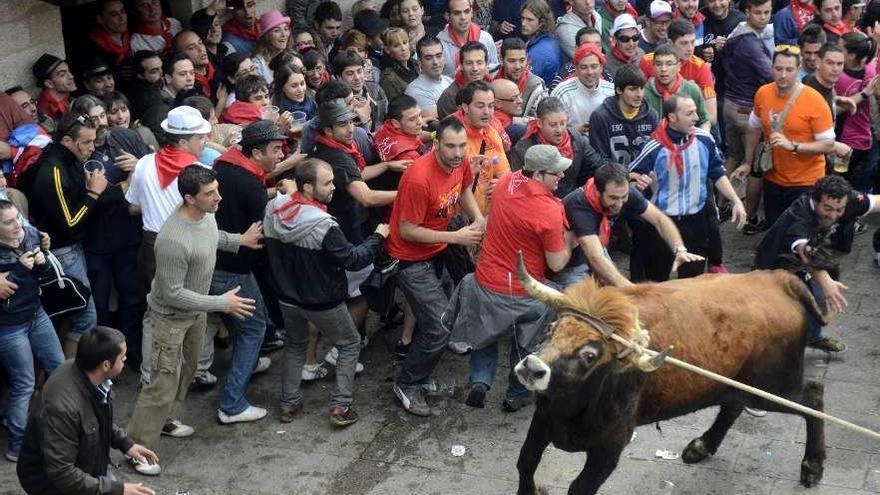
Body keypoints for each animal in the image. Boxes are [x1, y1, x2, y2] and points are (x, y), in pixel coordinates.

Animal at [512, 268, 828, 495]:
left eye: (590, 354)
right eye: (551, 328)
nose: (532, 367)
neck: (572, 405)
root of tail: (778, 279)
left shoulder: (609, 447)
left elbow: (578, 488)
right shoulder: (542, 422)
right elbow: (525, 462)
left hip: (772, 388)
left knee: (813, 396)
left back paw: (812, 466)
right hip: (738, 384)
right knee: (733, 405)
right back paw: (701, 446)